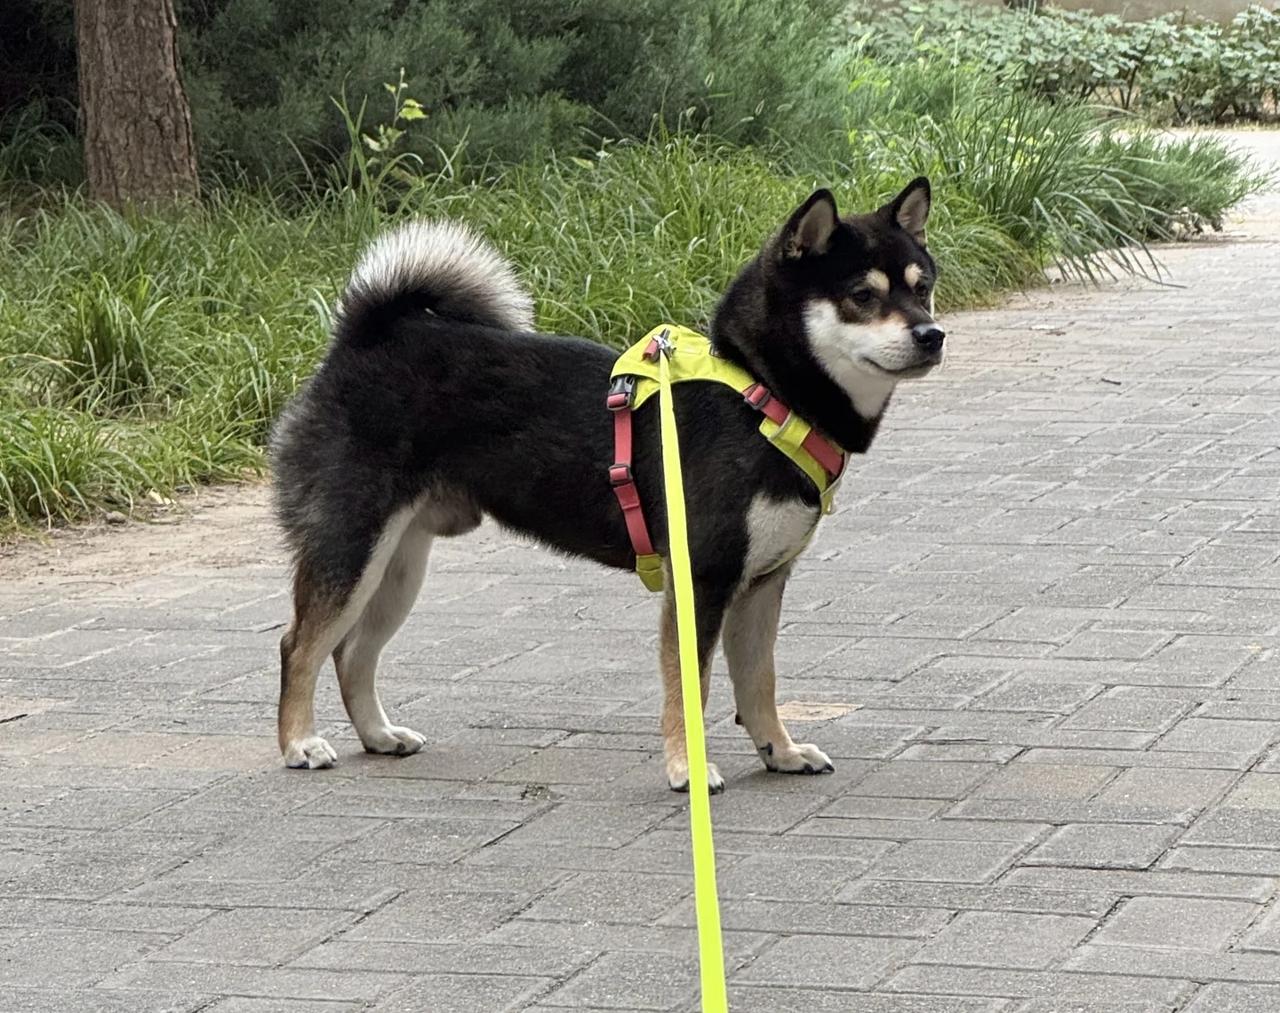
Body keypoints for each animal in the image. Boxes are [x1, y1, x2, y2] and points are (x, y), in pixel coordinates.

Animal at [270, 179, 943, 792]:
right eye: (861, 296)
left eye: (923, 288)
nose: (932, 335)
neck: (762, 398)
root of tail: (368, 337)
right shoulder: (701, 579)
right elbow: (692, 690)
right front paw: (687, 770)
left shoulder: (761, 583)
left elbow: (759, 683)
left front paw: (779, 751)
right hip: (352, 552)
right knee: (298, 646)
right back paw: (300, 742)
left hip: (398, 568)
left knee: (351, 653)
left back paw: (378, 736)